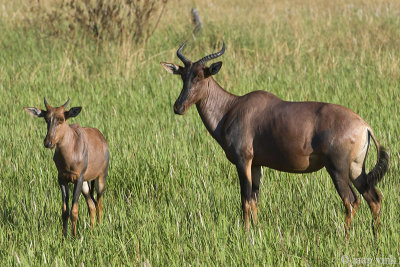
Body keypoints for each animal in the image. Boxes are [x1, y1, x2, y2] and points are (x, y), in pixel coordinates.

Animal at [24, 99, 109, 238]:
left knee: (99, 204)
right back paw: (92, 231)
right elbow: (65, 211)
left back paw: (100, 228)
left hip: (100, 178)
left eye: (61, 119)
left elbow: (74, 210)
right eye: (46, 119)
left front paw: (74, 237)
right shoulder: (62, 179)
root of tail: (102, 139)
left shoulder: (78, 179)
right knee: (92, 205)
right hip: (86, 184)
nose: (48, 143)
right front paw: (64, 237)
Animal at [161, 41, 390, 234]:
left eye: (201, 76)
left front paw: (246, 233)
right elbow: (254, 199)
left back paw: (346, 236)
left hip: (337, 169)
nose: (178, 107)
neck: (232, 108)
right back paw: (376, 234)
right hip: (356, 168)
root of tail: (364, 126)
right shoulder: (256, 164)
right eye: (183, 76)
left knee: (351, 200)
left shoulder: (243, 161)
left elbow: (245, 199)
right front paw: (255, 230)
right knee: (374, 197)